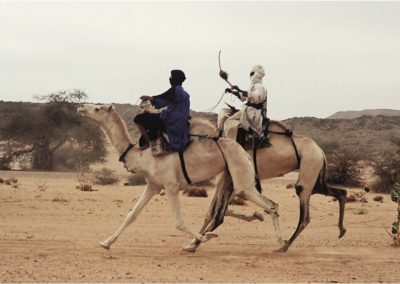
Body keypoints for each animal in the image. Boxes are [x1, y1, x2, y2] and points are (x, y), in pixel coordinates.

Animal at [77, 103, 284, 248]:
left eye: (97, 108)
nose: (80, 107)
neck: (143, 156)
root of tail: (245, 153)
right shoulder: (153, 185)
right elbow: (131, 215)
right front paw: (106, 242)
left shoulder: (171, 185)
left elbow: (178, 221)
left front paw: (204, 238)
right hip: (231, 176)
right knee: (261, 205)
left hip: (241, 178)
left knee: (270, 204)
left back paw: (282, 243)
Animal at [184, 121, 346, 254]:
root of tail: (321, 151)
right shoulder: (227, 179)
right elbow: (212, 213)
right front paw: (192, 244)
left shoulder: (228, 177)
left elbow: (218, 216)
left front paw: (193, 244)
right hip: (316, 177)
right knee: (340, 192)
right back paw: (341, 230)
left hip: (308, 170)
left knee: (304, 214)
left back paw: (284, 246)